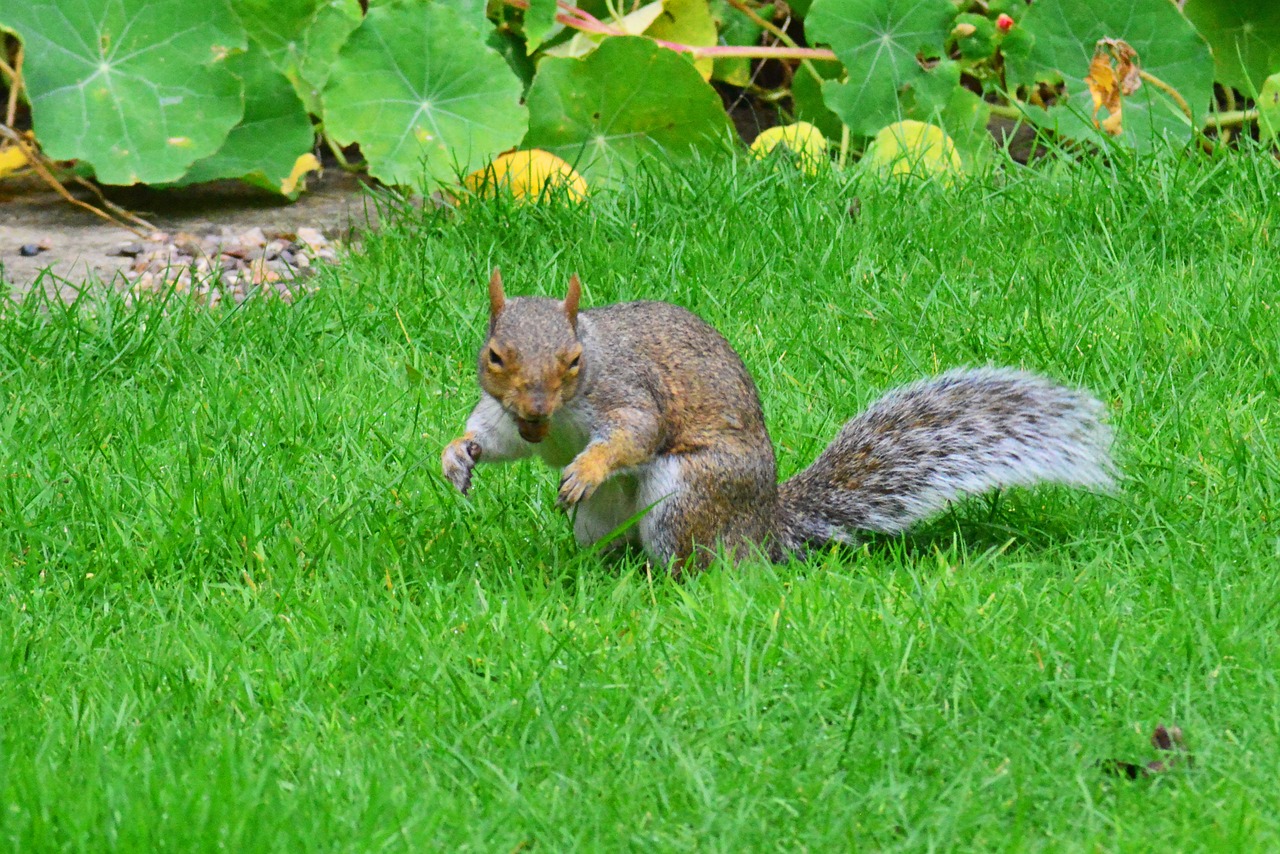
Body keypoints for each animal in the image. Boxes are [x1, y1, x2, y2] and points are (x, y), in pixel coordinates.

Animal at [445, 270, 1116, 571]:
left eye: (573, 360)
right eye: (494, 355)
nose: (536, 409)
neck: (560, 414)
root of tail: (764, 523)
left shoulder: (629, 394)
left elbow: (634, 434)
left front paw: (587, 466)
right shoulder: (508, 415)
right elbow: (496, 438)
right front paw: (457, 455)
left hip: (686, 494)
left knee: (697, 561)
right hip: (603, 520)